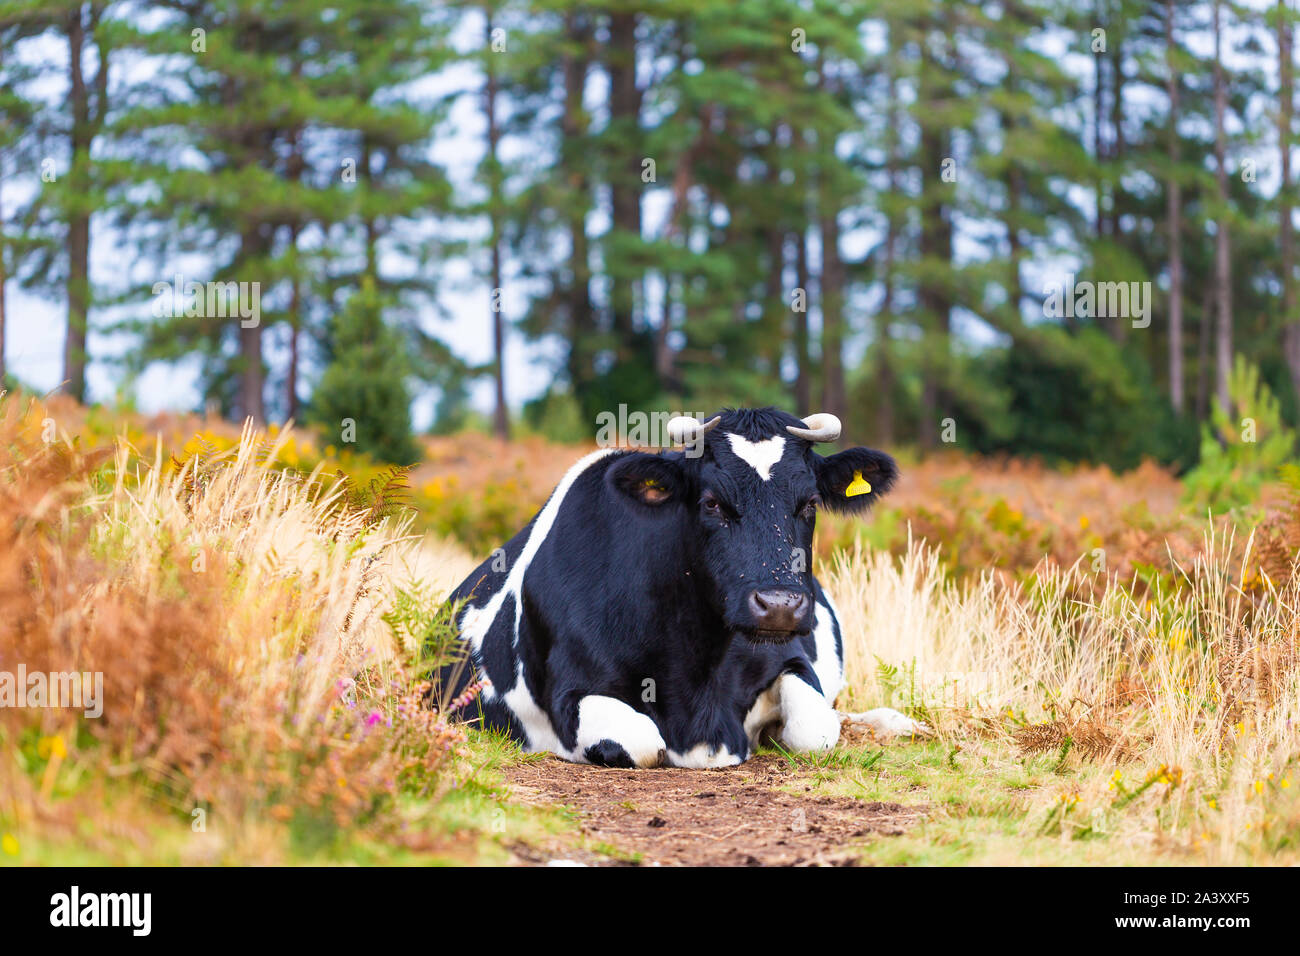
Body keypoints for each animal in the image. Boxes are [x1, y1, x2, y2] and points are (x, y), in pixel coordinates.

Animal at [441, 405, 930, 770]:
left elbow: (816, 729)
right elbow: (641, 741)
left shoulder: (790, 658)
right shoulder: (569, 694)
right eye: (711, 502)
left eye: (810, 503)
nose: (779, 605)